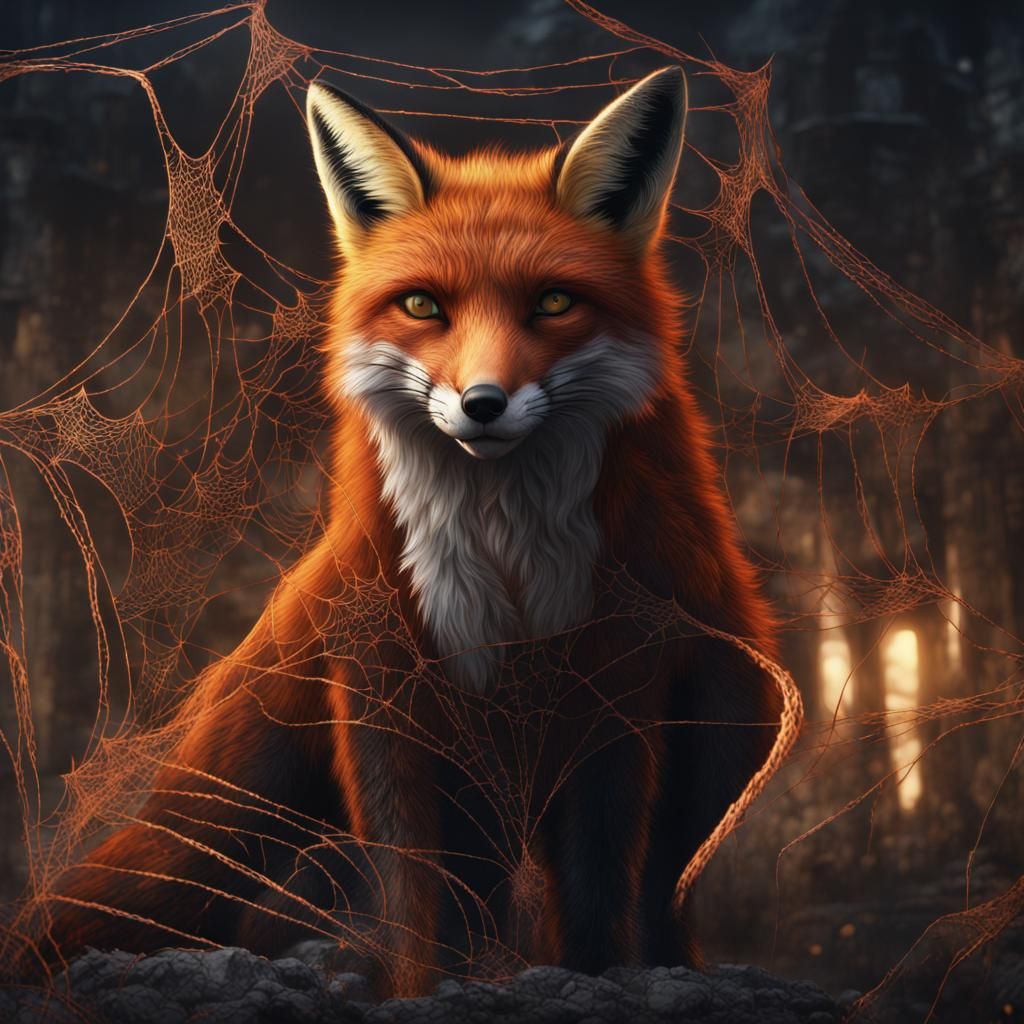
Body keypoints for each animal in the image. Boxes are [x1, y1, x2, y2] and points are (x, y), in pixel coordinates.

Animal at [35, 67, 784, 998]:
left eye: (554, 302)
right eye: (424, 305)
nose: (484, 402)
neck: (505, 574)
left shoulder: (619, 689)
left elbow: (602, 875)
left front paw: (599, 976)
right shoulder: (386, 693)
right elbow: (415, 893)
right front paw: (426, 988)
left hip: (734, 705)